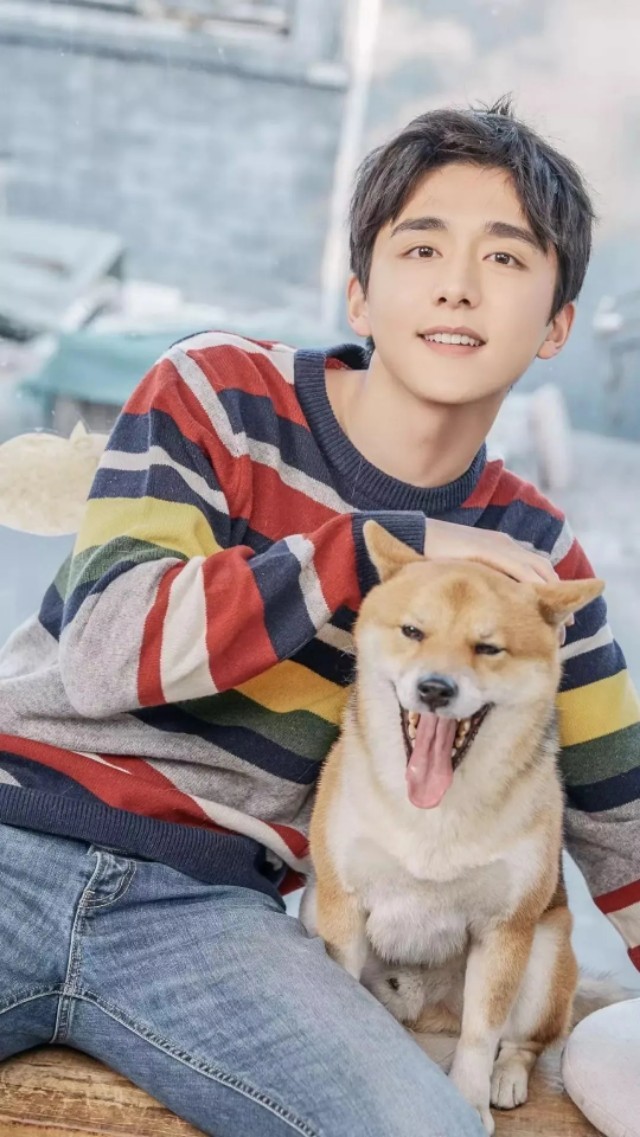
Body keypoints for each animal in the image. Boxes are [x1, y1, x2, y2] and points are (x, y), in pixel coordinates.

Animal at [300, 520, 609, 1134]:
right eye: (413, 631)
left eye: (488, 648)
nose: (435, 688)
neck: (433, 815)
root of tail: (427, 1016)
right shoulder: (341, 904)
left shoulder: (504, 931)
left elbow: (480, 1034)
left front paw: (470, 1099)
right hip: (310, 907)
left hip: (545, 955)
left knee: (526, 1041)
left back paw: (506, 1077)